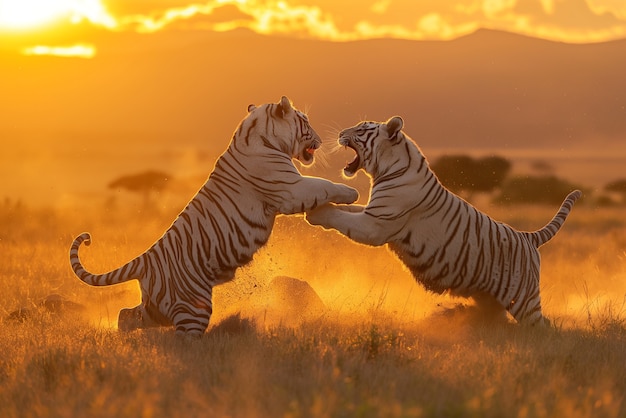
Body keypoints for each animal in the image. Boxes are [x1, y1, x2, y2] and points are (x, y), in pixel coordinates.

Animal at [69, 97, 358, 336]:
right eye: (305, 122)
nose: (320, 140)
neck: (259, 135)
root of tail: (146, 259)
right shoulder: (291, 189)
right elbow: (323, 185)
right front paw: (351, 192)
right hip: (193, 306)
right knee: (183, 339)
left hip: (156, 308)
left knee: (126, 316)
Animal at [308, 116, 580, 324]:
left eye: (362, 129)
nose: (340, 133)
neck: (387, 168)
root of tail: (528, 237)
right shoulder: (371, 212)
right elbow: (348, 210)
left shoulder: (374, 225)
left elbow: (341, 218)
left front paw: (315, 214)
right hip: (489, 299)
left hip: (524, 300)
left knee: (542, 326)